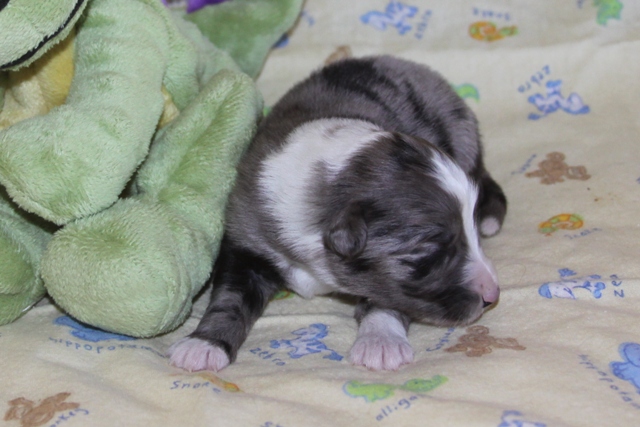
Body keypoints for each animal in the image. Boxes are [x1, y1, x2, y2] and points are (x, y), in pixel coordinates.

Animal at [168, 55, 507, 371]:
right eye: (430, 248)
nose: (493, 295)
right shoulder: (244, 243)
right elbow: (229, 299)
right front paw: (204, 344)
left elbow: (387, 298)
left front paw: (380, 341)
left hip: (461, 131)